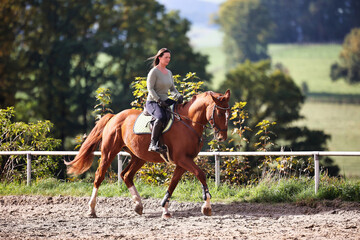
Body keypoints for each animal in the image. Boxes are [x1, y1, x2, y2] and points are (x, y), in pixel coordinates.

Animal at [65, 89, 229, 218]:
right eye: (220, 113)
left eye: (228, 113)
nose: (222, 138)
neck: (188, 123)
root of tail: (115, 116)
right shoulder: (182, 159)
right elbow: (200, 174)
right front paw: (207, 206)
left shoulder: (182, 162)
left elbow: (173, 183)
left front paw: (165, 209)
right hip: (109, 152)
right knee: (99, 176)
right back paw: (91, 209)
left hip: (139, 157)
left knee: (126, 175)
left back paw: (138, 205)